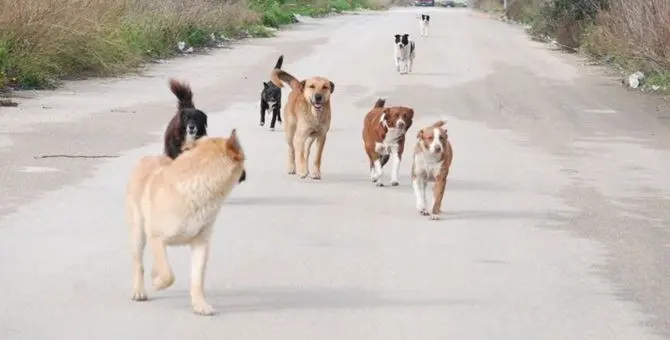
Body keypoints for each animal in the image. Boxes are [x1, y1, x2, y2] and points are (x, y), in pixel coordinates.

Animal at [126, 130, 247, 316]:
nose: (246, 174)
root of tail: (147, 158)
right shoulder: (156, 238)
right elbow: (168, 275)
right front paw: (158, 283)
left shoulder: (201, 245)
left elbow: (197, 278)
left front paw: (200, 304)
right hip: (139, 235)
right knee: (139, 264)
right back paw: (139, 290)